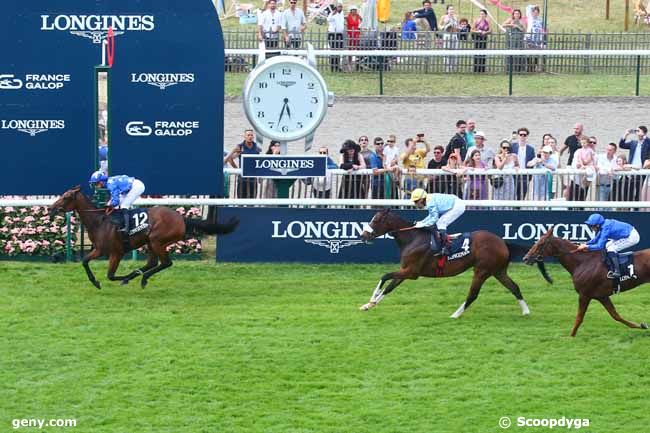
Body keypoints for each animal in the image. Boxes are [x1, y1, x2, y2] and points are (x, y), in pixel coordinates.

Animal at [49, 187, 238, 288]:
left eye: (66, 197)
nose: (51, 208)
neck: (100, 221)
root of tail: (181, 218)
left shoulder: (116, 253)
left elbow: (111, 275)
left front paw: (122, 278)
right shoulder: (99, 249)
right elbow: (84, 261)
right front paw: (95, 282)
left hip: (157, 240)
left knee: (166, 263)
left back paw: (142, 277)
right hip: (150, 243)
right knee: (153, 263)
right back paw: (139, 275)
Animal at [356, 208, 528, 316]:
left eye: (376, 220)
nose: (363, 236)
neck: (413, 239)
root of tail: (502, 242)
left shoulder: (412, 272)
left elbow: (384, 276)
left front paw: (372, 298)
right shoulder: (405, 270)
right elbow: (389, 287)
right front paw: (368, 305)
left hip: (482, 270)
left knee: (473, 294)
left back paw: (455, 314)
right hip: (497, 271)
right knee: (514, 287)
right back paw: (526, 312)